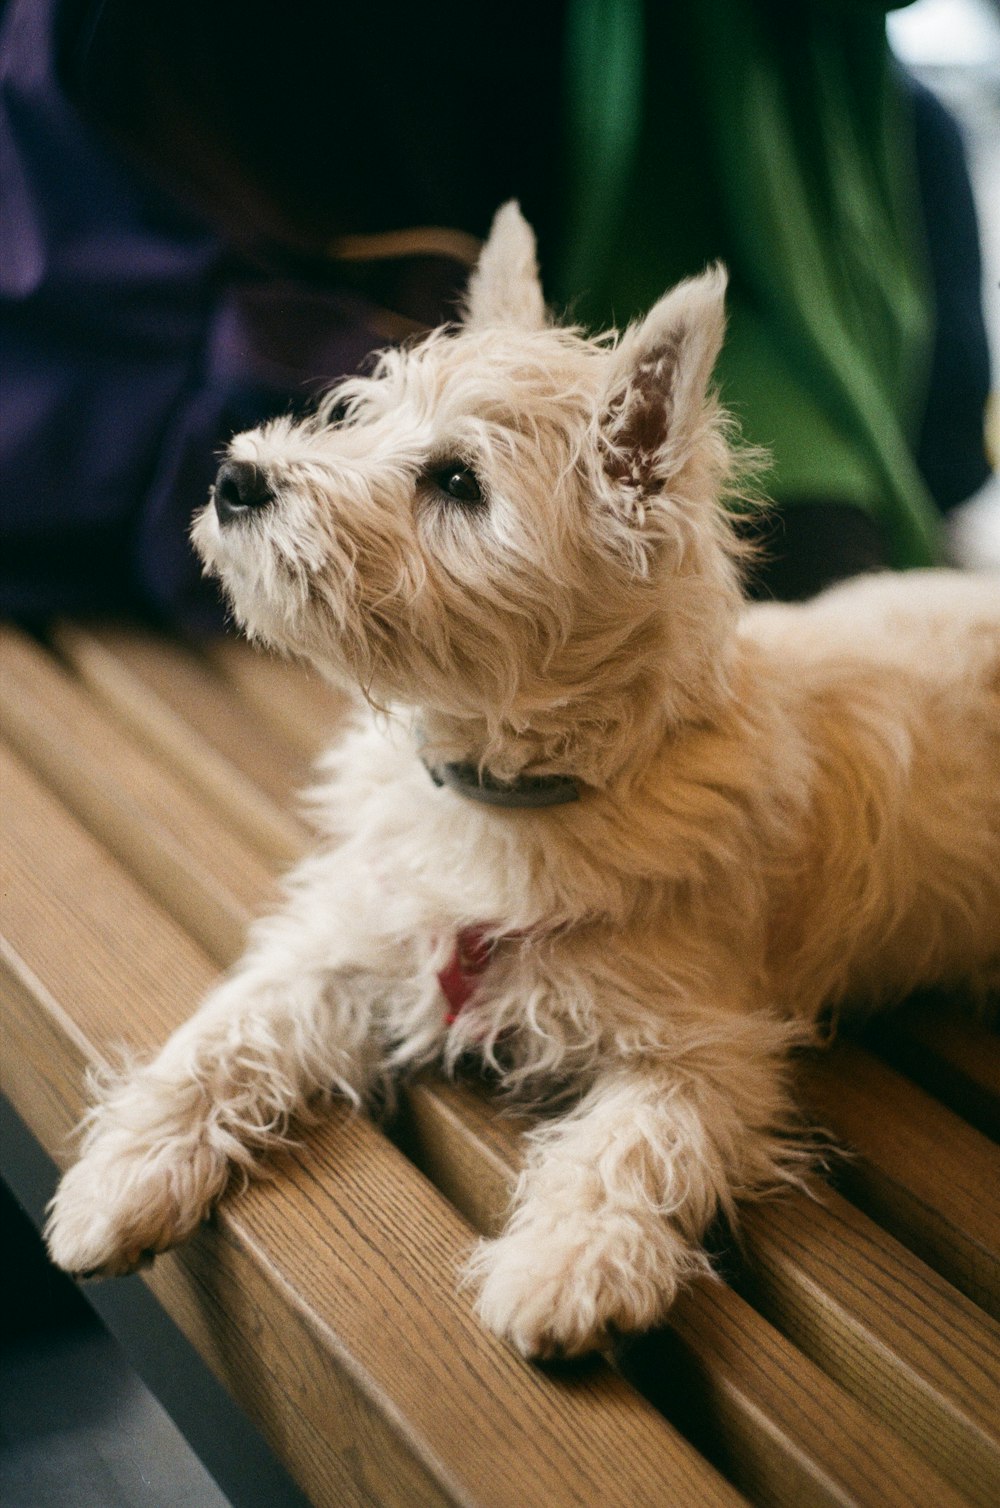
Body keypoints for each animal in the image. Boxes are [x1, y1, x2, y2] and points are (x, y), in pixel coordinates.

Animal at [45, 197, 1000, 1357]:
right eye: (361, 416)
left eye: (458, 482)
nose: (235, 480)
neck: (509, 795)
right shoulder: (345, 943)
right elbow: (223, 1036)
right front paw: (119, 1177)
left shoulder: (708, 1048)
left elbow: (629, 1145)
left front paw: (568, 1265)